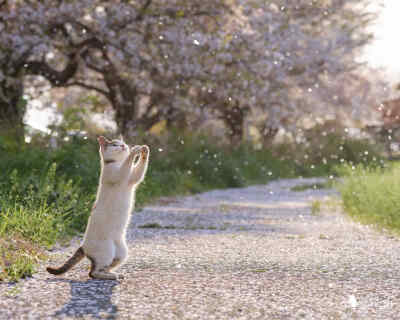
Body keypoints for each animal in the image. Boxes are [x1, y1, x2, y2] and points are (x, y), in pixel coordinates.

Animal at [47, 136, 150, 280]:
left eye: (123, 143)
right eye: (115, 144)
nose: (124, 146)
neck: (116, 163)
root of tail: (83, 246)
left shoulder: (133, 177)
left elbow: (139, 169)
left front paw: (145, 150)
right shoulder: (119, 174)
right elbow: (127, 163)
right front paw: (134, 151)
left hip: (121, 253)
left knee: (100, 268)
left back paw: (113, 274)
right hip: (107, 251)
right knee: (93, 273)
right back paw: (110, 276)